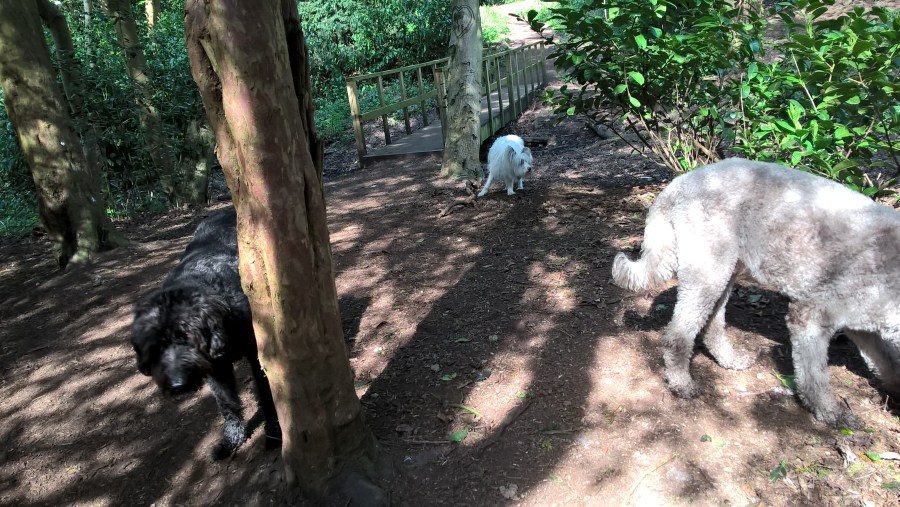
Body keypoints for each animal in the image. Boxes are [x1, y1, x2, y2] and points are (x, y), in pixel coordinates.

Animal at [131, 208, 282, 460]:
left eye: (188, 339)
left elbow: (267, 393)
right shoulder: (215, 370)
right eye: (156, 347)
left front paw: (274, 433)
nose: (177, 385)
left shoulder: (256, 355)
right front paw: (232, 438)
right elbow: (226, 402)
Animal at [612, 158, 900, 429]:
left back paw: (729, 359)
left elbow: (887, 361)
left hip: (724, 270)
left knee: (712, 324)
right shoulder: (809, 318)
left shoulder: (862, 326)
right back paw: (681, 382)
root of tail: (680, 182)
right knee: (678, 335)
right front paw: (831, 412)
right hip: (707, 271)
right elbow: (814, 376)